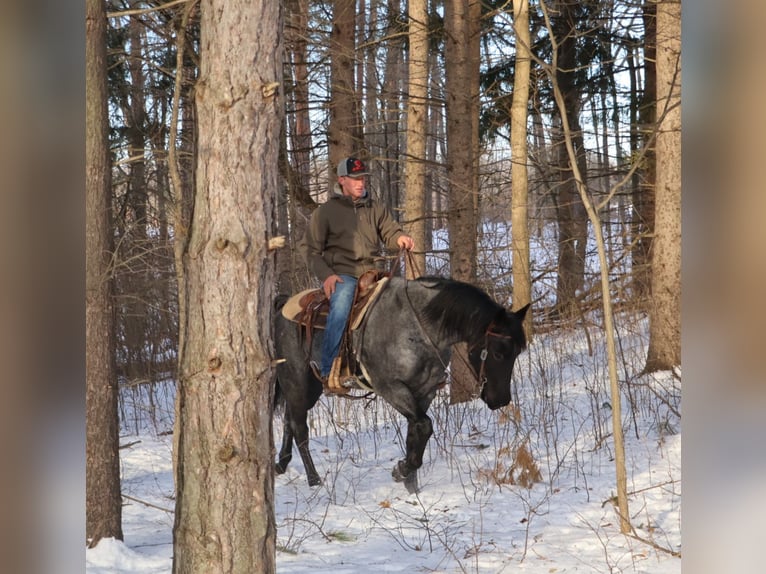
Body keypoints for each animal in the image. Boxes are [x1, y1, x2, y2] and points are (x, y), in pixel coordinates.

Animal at [273, 275, 530, 493]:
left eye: (518, 353)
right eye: (498, 353)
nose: (501, 400)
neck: (418, 328)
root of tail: (284, 307)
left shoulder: (425, 391)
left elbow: (416, 431)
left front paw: (411, 485)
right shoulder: (391, 387)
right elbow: (424, 425)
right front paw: (402, 471)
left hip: (305, 387)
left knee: (288, 419)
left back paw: (281, 464)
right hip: (298, 382)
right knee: (299, 428)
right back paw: (313, 479)